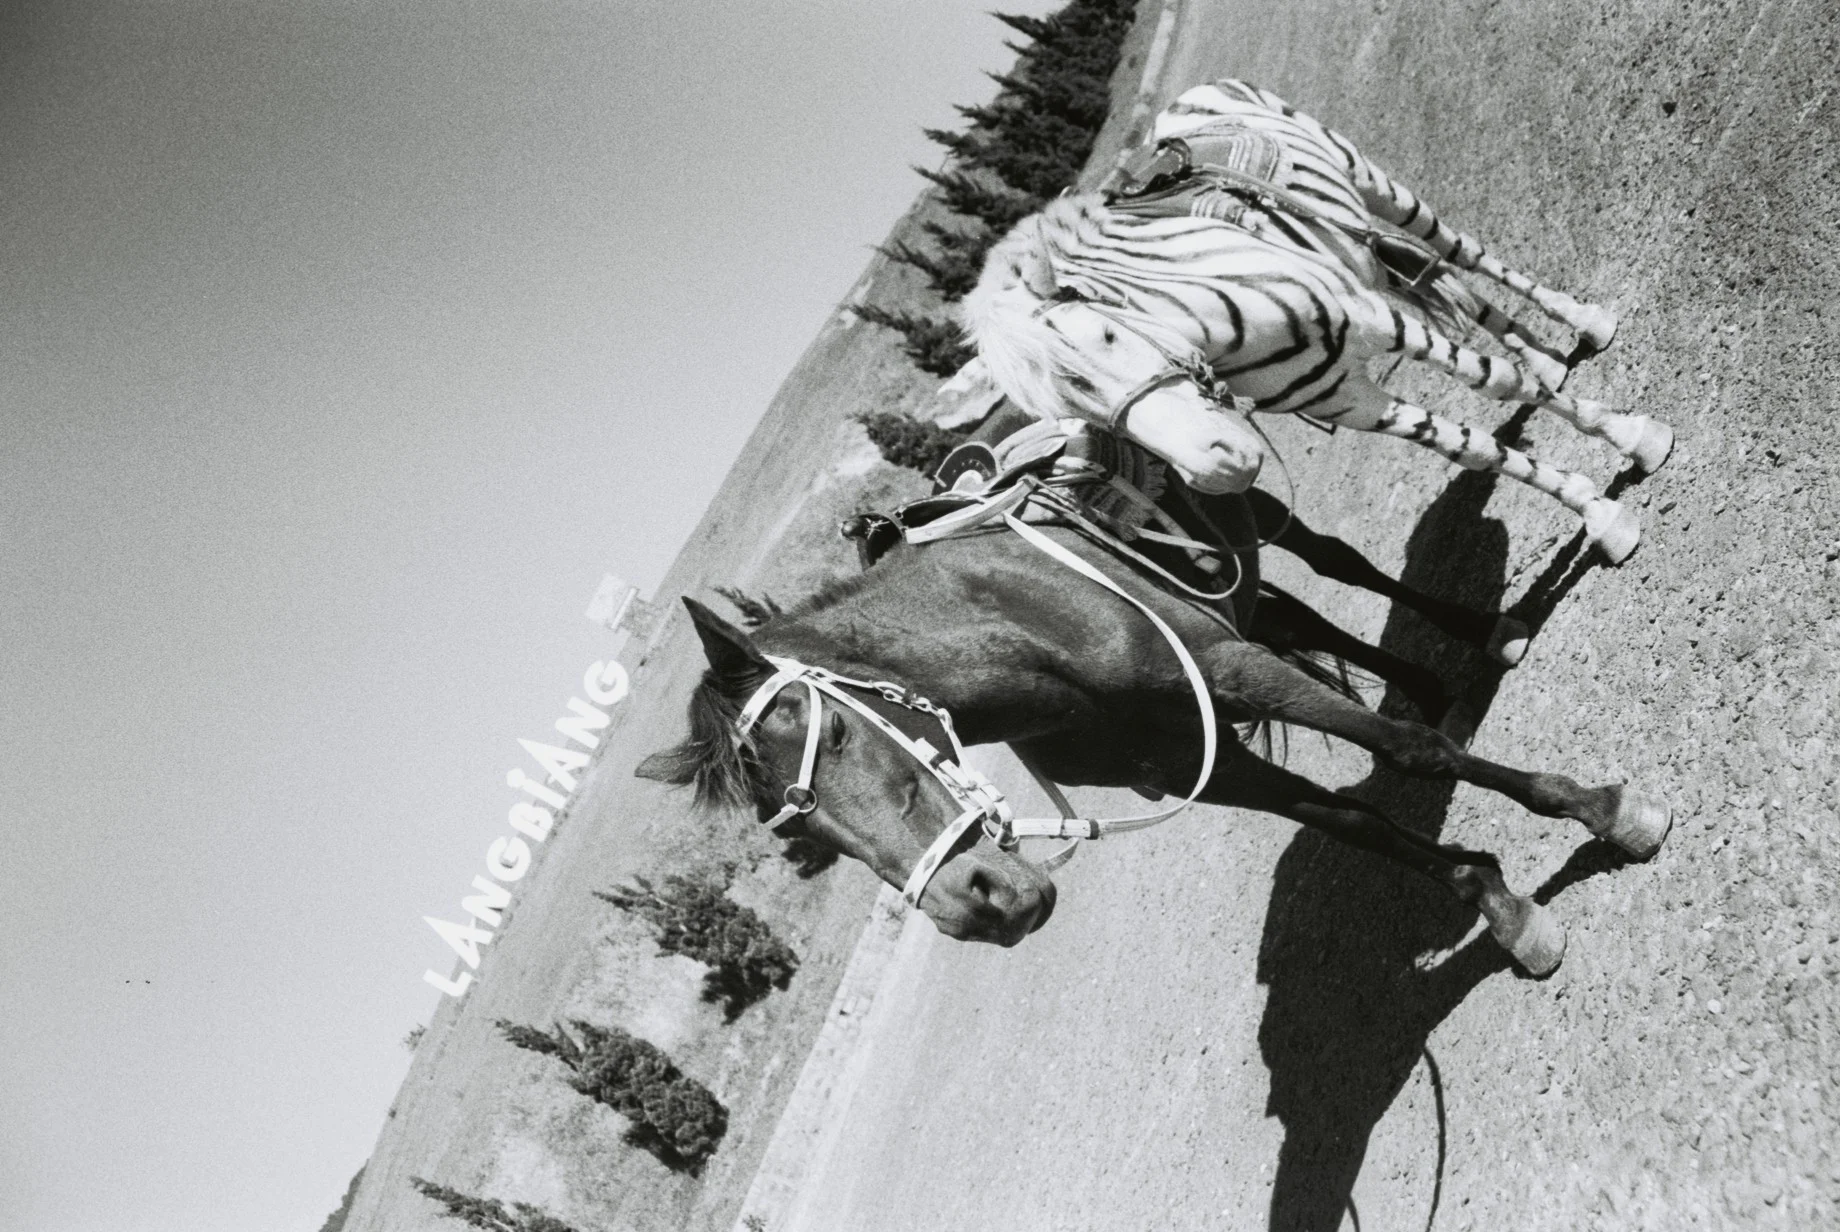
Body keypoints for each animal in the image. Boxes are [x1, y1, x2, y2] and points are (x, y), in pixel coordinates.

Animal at [961, 79, 1672, 563]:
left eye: (1106, 337)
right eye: (1078, 418)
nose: (1221, 473)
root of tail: (1185, 99)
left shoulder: (1376, 321)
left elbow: (1499, 383)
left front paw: (1632, 437)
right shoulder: (1349, 401)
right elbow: (1471, 448)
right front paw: (1600, 516)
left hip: (1376, 186)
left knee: (1457, 251)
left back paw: (1585, 321)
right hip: (1352, 249)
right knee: (1449, 287)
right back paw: (1551, 354)